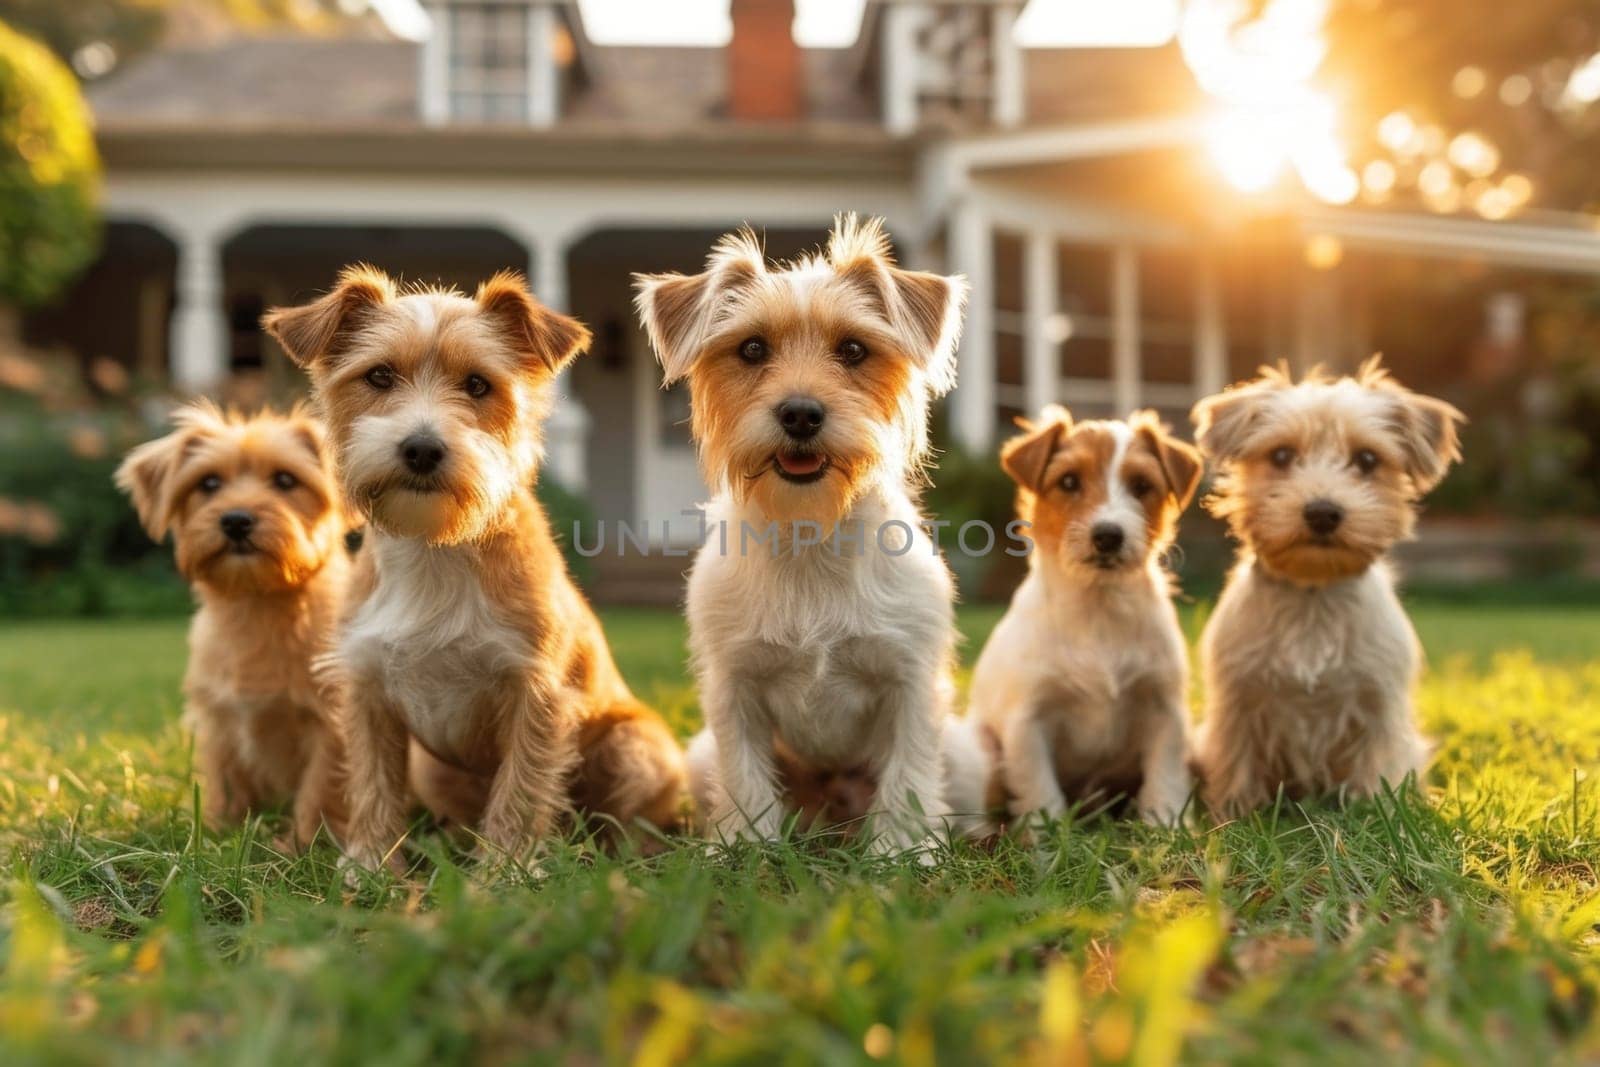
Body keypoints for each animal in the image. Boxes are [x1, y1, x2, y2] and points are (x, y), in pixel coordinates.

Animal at [117, 403, 353, 851]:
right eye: (209, 483)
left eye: (285, 479)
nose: (237, 520)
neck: (257, 604)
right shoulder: (219, 718)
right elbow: (225, 782)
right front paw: (217, 836)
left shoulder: (330, 720)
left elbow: (318, 789)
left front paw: (302, 846)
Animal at [264, 265, 688, 870]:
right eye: (379, 376)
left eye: (478, 385)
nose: (421, 448)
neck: (436, 549)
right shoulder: (367, 692)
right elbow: (372, 782)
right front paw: (369, 862)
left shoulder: (536, 693)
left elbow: (521, 786)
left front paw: (507, 867)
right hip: (435, 771)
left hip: (635, 748)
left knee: (630, 818)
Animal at [630, 217, 966, 851]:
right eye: (752, 348)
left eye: (854, 349)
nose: (801, 414)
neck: (810, 532)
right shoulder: (733, 688)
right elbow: (746, 778)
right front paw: (744, 850)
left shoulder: (911, 683)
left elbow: (909, 777)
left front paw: (904, 852)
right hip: (700, 755)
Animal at [960, 404, 1203, 831]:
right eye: (1069, 481)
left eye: (1141, 485)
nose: (1108, 535)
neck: (1098, 609)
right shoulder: (1028, 721)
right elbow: (1040, 789)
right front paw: (1048, 837)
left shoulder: (1165, 710)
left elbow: (1167, 777)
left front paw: (1168, 827)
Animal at [1190, 358, 1465, 819]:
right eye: (1281, 454)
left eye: (1367, 459)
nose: (1322, 512)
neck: (1312, 592)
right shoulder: (1238, 703)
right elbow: (1237, 765)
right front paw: (1233, 817)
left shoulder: (1377, 705)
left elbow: (1375, 771)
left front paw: (1374, 815)